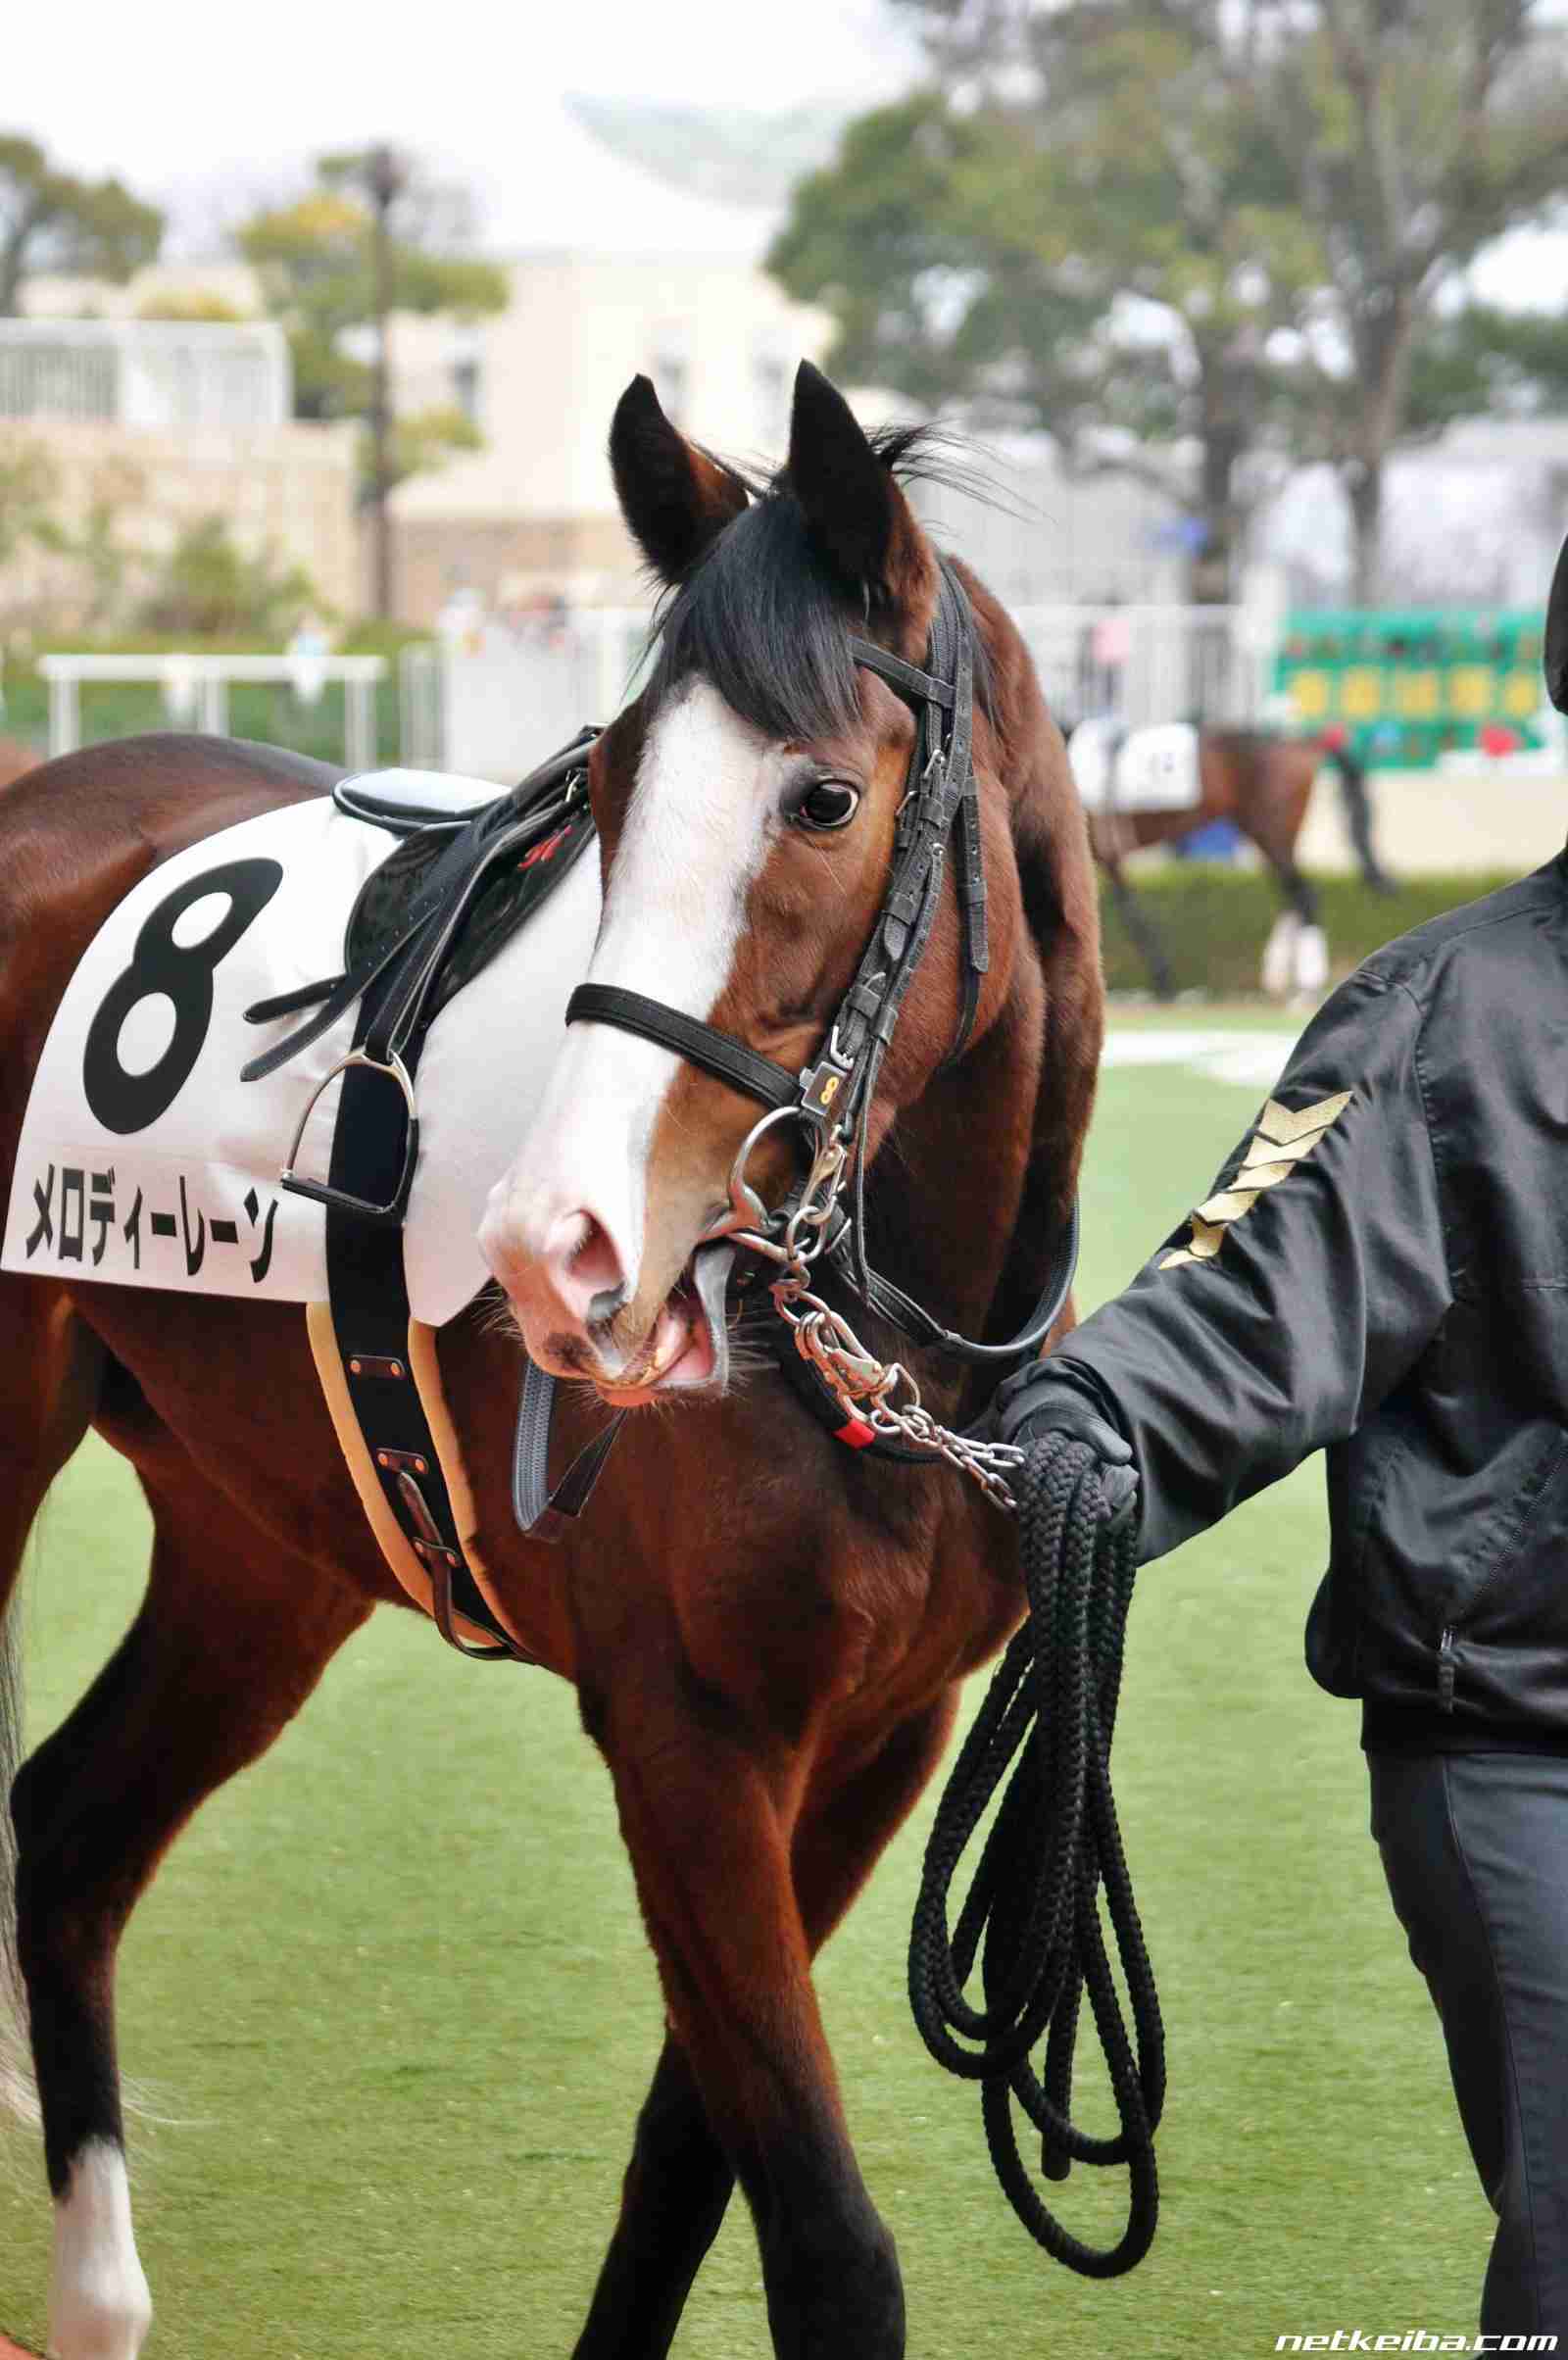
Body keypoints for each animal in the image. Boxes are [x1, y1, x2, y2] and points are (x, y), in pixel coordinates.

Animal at [0, 361, 1102, 2360]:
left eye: (826, 795)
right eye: (605, 784)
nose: (557, 1245)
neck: (885, 1352)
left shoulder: (880, 1737)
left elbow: (691, 2162)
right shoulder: (686, 1734)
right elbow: (822, 2233)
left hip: (263, 1539)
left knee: (73, 1829)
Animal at [1084, 724, 1390, 1000]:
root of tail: (1305, 742)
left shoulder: (1104, 855)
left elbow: (1130, 917)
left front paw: (1163, 982)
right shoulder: (1109, 857)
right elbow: (1129, 913)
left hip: (1272, 832)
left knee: (1303, 894)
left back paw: (1307, 984)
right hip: (1265, 835)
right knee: (1291, 894)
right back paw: (1277, 974)